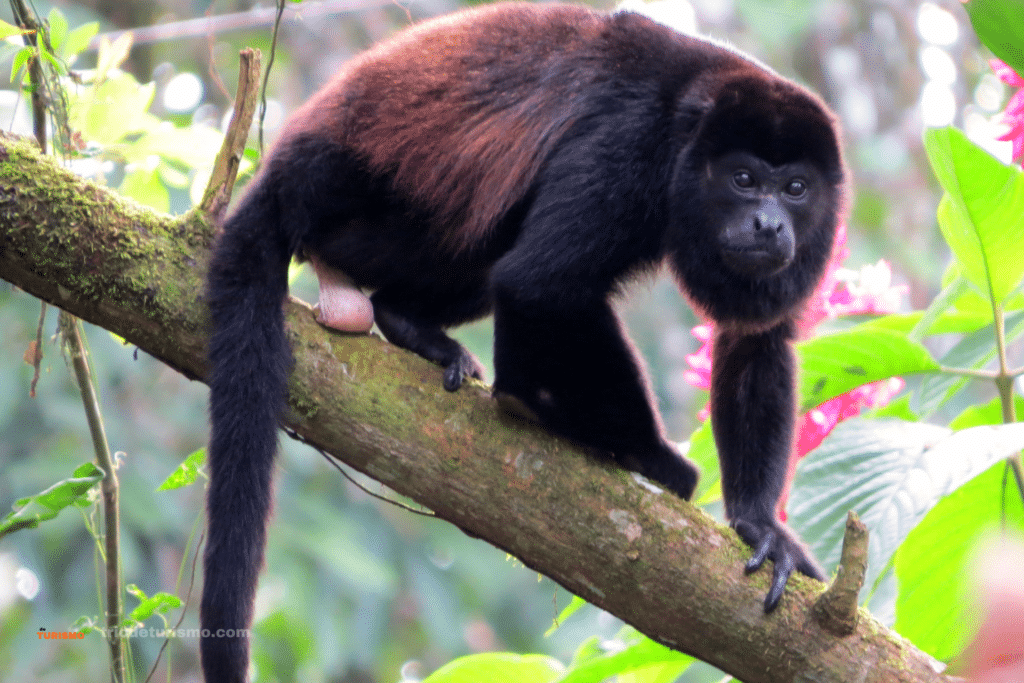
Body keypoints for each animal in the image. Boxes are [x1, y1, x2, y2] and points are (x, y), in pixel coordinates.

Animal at [203, 2, 843, 679]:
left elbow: (757, 339)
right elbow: (540, 282)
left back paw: (413, 327)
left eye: (795, 189)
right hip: (356, 206)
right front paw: (649, 456)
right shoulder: (631, 147)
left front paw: (759, 526)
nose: (769, 224)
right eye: (744, 179)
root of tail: (284, 168)